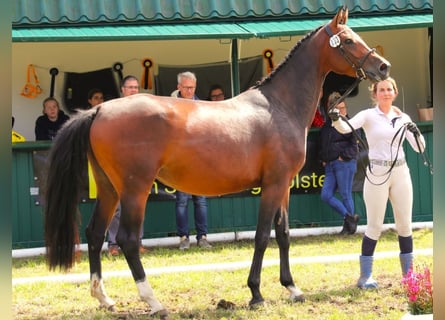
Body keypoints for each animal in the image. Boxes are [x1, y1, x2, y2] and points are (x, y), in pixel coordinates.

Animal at [44, 6, 388, 318]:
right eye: (348, 40)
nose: (383, 67)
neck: (279, 106)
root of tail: (100, 110)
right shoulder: (273, 185)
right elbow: (262, 236)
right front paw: (256, 294)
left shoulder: (284, 186)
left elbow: (283, 234)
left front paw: (292, 288)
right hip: (134, 190)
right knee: (127, 240)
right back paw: (154, 302)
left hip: (108, 188)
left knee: (94, 233)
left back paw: (104, 298)